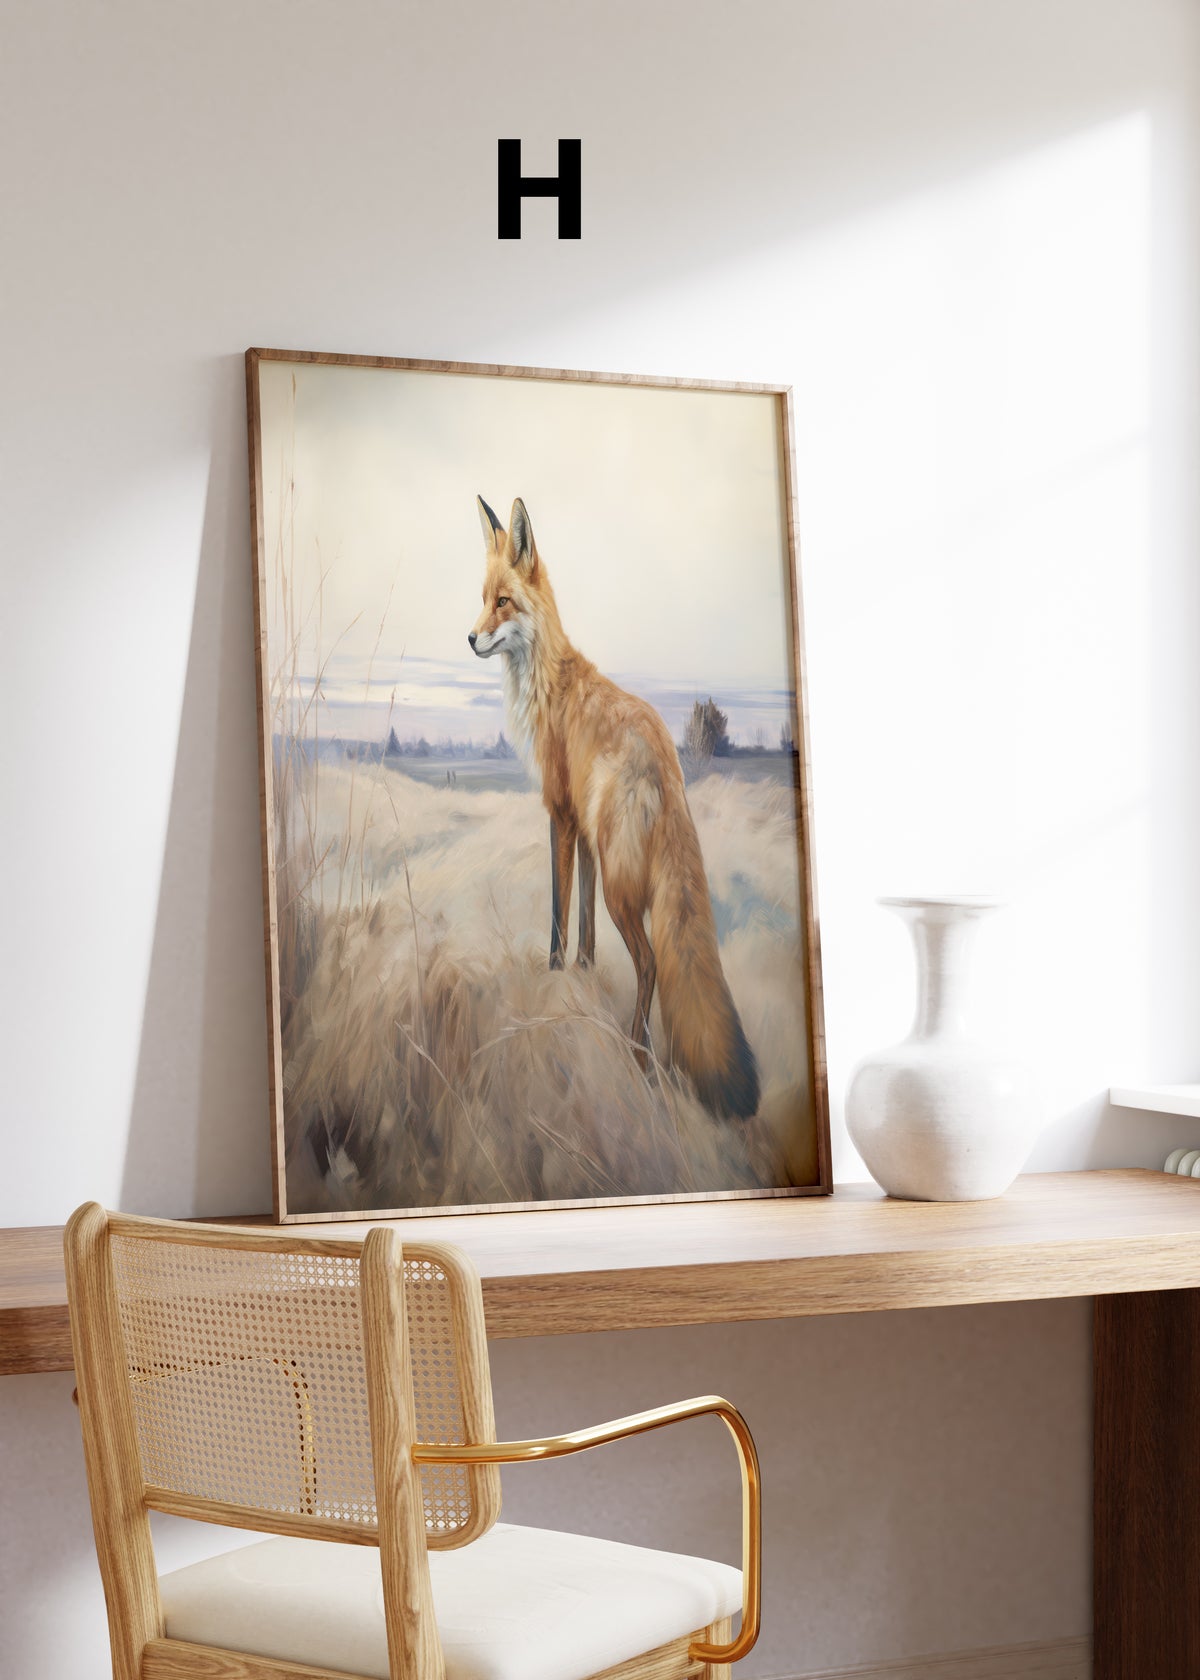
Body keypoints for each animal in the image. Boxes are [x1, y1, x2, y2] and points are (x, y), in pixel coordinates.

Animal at [468, 494, 760, 1121]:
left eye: (503, 602)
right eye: (481, 598)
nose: (470, 639)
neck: (547, 685)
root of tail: (668, 764)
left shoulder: (557, 814)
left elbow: (558, 913)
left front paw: (554, 979)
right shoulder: (581, 829)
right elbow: (582, 921)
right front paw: (581, 976)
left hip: (623, 886)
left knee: (650, 962)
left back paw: (639, 1057)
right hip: (612, 862)